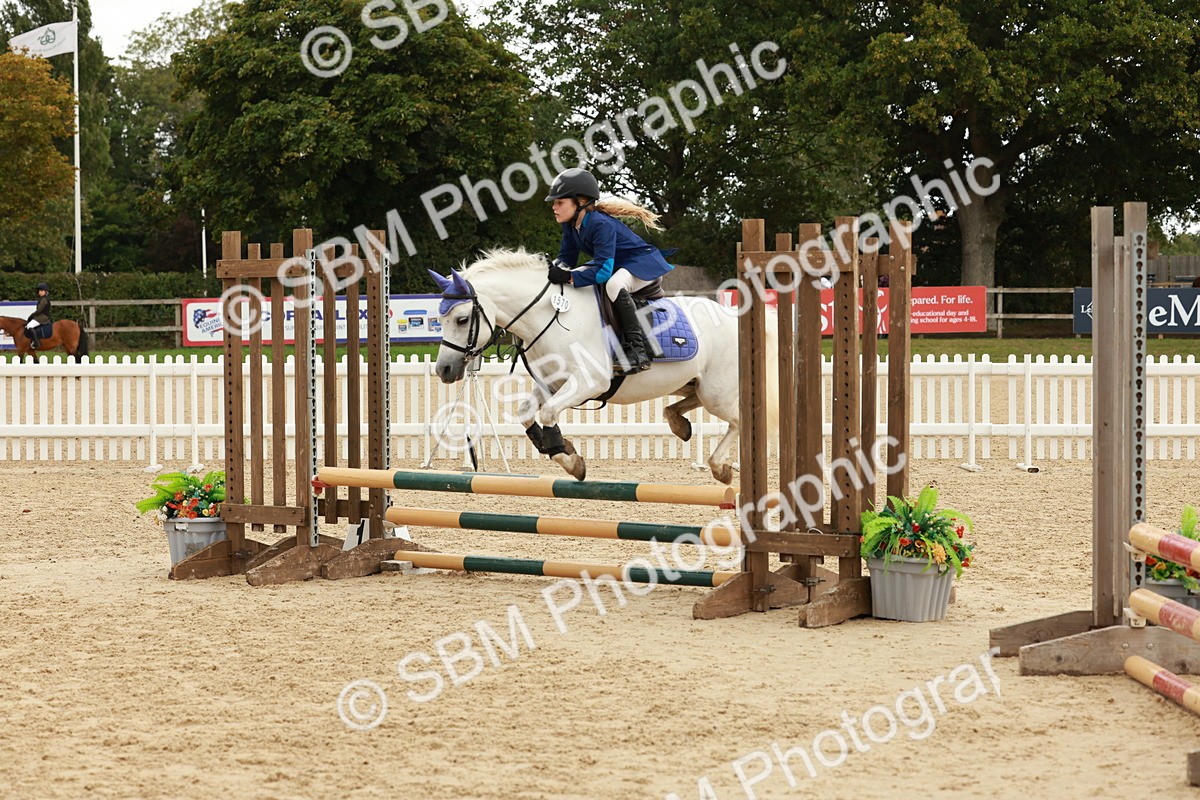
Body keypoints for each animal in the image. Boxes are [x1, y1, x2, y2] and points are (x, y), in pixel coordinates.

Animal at [429, 250, 778, 484]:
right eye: (439, 319)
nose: (444, 371)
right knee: (685, 405)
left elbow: (548, 413)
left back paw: (720, 467)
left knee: (739, 419)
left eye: (461, 319)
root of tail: (737, 318)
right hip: (694, 384)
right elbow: (528, 413)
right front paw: (561, 449)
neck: (551, 317)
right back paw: (679, 424)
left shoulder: (588, 383)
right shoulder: (553, 384)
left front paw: (569, 459)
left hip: (717, 392)